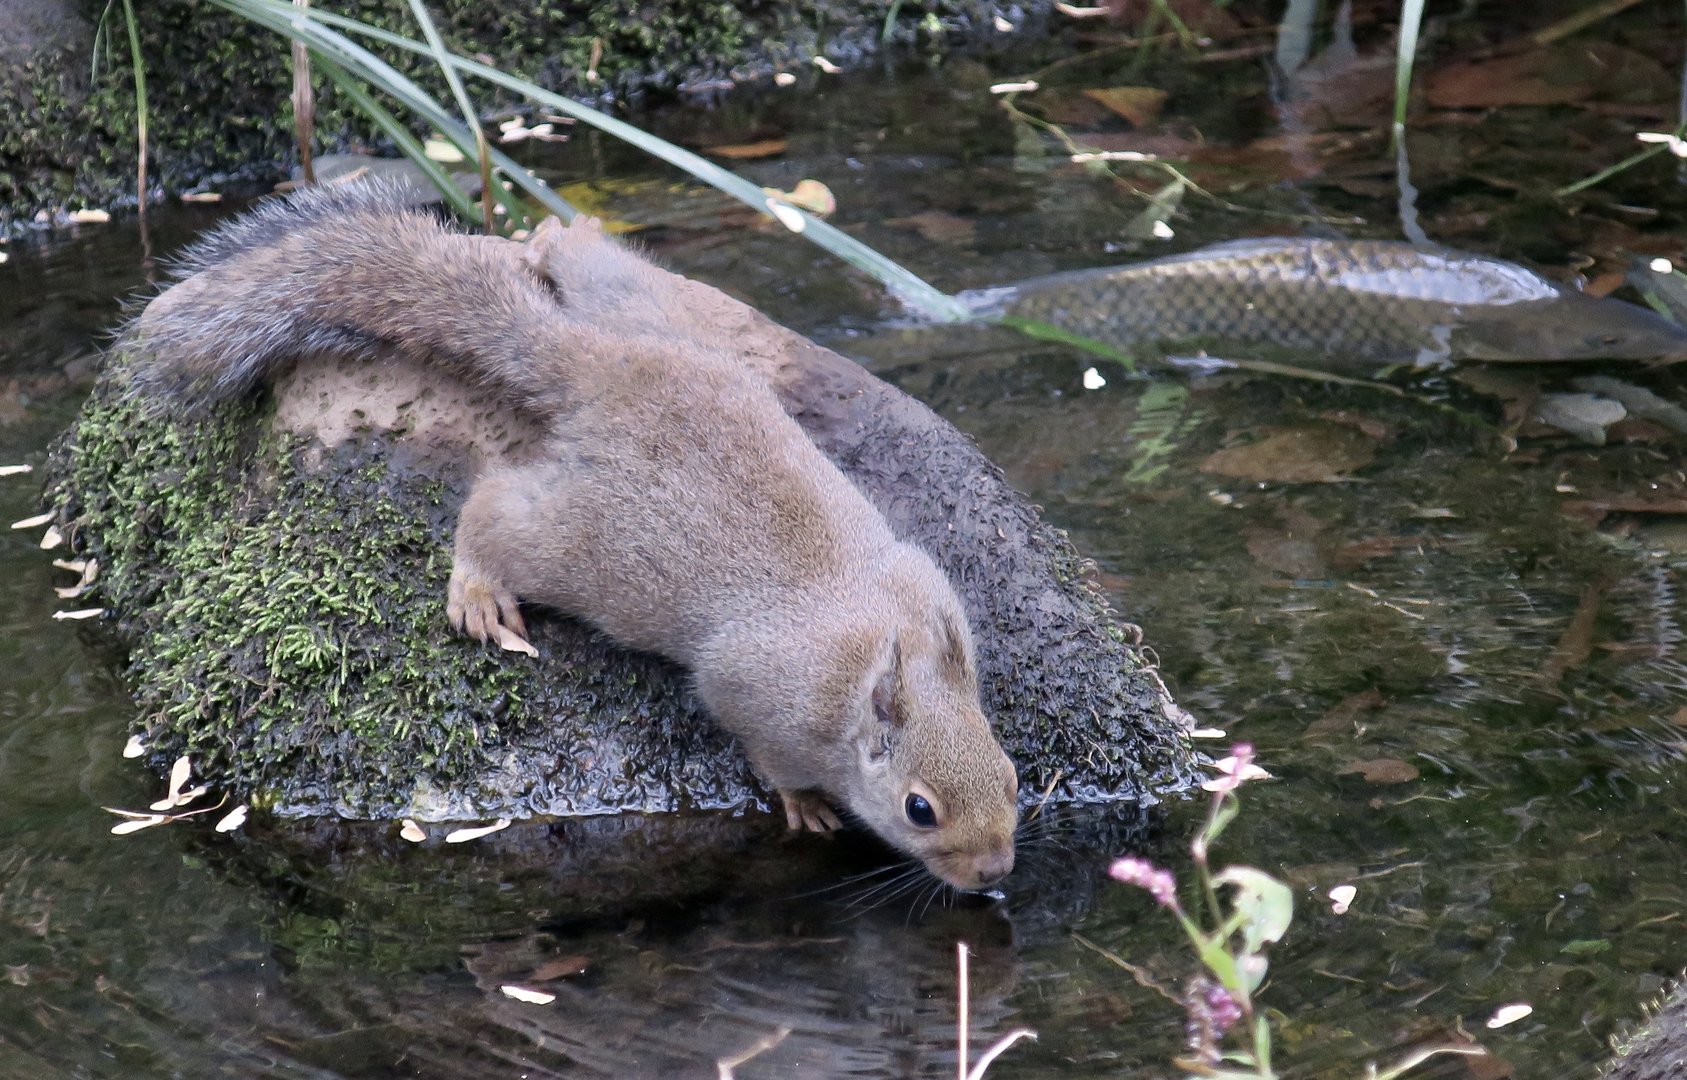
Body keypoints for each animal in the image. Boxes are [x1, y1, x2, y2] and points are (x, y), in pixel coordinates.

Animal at [120, 181, 1020, 891]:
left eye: (1011, 775)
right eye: (919, 809)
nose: (993, 873)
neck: (883, 660)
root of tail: (600, 371)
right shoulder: (759, 697)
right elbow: (761, 748)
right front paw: (804, 803)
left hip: (650, 318)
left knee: (603, 274)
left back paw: (561, 234)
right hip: (591, 551)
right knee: (493, 511)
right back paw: (478, 587)